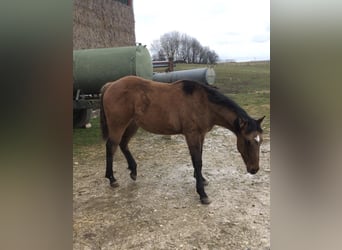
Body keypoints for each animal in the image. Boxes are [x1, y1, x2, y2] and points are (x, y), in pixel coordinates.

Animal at [99, 75, 264, 204]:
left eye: (260, 141)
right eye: (247, 141)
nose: (254, 169)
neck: (203, 103)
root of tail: (111, 85)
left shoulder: (201, 135)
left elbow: (200, 158)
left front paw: (201, 179)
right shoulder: (192, 135)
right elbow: (197, 161)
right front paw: (202, 193)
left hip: (132, 124)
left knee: (123, 144)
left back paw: (133, 171)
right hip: (118, 125)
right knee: (111, 147)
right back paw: (112, 178)